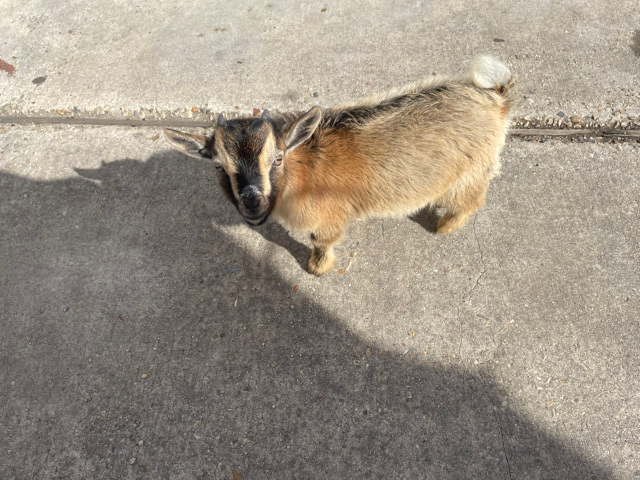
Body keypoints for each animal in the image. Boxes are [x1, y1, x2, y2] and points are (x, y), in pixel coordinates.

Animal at [164, 56, 514, 276]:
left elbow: (322, 242)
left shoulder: (329, 216)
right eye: (218, 166)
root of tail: (496, 98)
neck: (302, 172)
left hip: (470, 173)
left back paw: (445, 226)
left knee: (471, 200)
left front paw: (317, 269)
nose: (252, 202)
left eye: (277, 158)